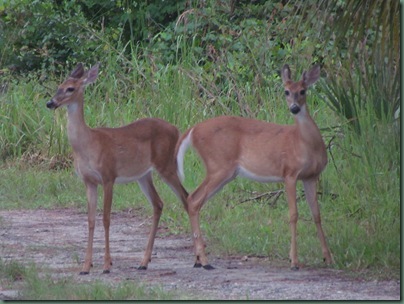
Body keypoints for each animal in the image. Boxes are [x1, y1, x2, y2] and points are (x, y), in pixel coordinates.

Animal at [46, 63, 189, 274]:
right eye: (59, 86)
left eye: (70, 89)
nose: (50, 103)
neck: (88, 145)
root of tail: (177, 130)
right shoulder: (89, 181)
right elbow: (91, 220)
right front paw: (86, 266)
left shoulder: (108, 176)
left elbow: (106, 218)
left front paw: (106, 265)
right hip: (144, 174)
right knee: (158, 203)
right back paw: (144, 262)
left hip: (166, 165)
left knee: (186, 197)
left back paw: (197, 258)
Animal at [176, 63, 332, 268]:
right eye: (286, 91)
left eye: (303, 91)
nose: (294, 108)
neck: (304, 143)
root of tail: (193, 130)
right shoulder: (289, 173)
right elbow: (293, 215)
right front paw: (294, 261)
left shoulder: (311, 176)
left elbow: (317, 214)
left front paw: (328, 257)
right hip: (219, 165)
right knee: (193, 199)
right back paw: (204, 260)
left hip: (226, 172)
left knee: (193, 199)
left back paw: (198, 260)